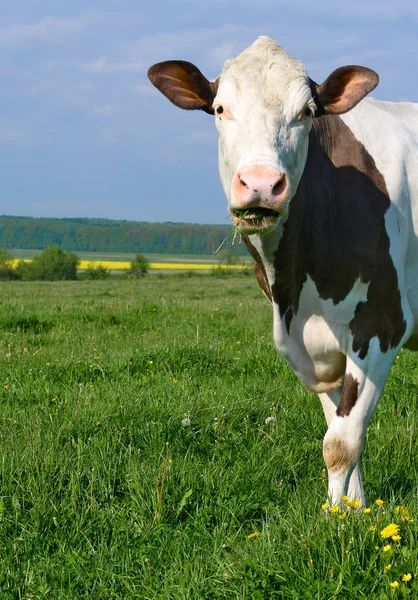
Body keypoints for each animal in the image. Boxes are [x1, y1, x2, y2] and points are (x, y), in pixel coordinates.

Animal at [148, 36, 418, 506]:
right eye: (219, 108)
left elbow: (340, 443)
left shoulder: (383, 324)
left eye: (307, 112)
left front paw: (335, 522)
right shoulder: (315, 348)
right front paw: (355, 511)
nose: (260, 184)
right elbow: (342, 429)